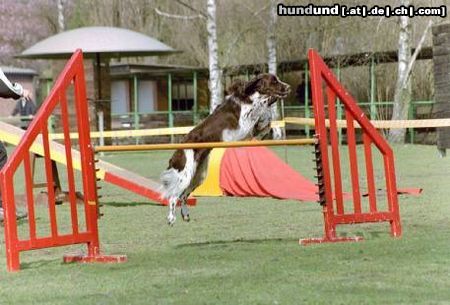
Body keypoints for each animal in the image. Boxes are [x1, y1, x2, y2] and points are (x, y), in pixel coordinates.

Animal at [160, 72, 290, 222]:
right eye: (274, 81)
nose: (288, 87)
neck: (249, 98)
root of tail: (178, 151)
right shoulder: (241, 128)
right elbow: (261, 114)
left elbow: (265, 121)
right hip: (185, 175)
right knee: (174, 196)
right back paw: (171, 218)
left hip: (198, 175)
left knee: (183, 195)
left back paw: (185, 215)